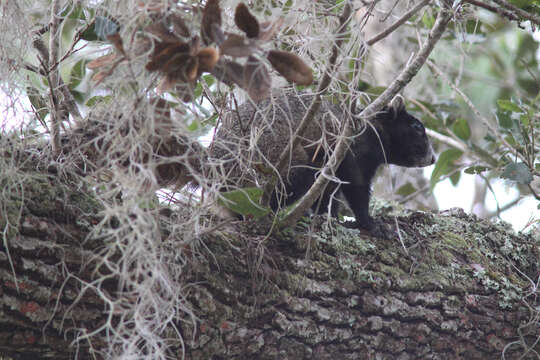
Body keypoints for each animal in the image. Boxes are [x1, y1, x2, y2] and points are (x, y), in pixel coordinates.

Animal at [209, 91, 436, 232]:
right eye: (417, 127)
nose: (433, 158)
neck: (374, 128)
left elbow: (327, 193)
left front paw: (330, 217)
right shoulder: (352, 149)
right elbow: (355, 185)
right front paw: (367, 221)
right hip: (275, 158)